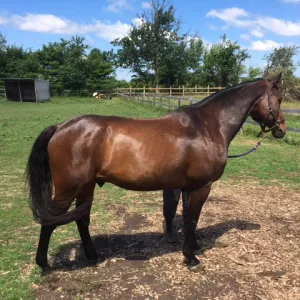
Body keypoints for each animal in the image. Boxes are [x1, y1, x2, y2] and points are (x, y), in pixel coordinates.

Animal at [26, 73, 286, 272]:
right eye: (280, 98)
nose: (282, 129)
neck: (207, 126)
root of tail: (60, 127)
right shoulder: (202, 186)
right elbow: (192, 218)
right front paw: (191, 258)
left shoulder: (188, 187)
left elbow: (189, 218)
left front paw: (193, 247)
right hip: (68, 189)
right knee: (50, 222)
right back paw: (44, 265)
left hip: (85, 187)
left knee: (82, 219)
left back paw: (93, 257)